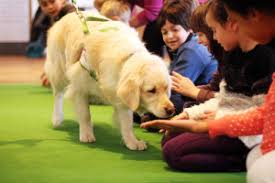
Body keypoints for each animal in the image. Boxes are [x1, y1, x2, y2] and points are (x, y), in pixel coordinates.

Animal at [45, 12, 175, 150]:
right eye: (151, 90)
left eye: (166, 88)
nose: (171, 110)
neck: (125, 59)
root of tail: (69, 14)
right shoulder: (79, 86)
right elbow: (85, 114)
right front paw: (86, 134)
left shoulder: (120, 95)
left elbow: (127, 122)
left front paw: (132, 141)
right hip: (59, 70)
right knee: (58, 95)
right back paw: (57, 118)